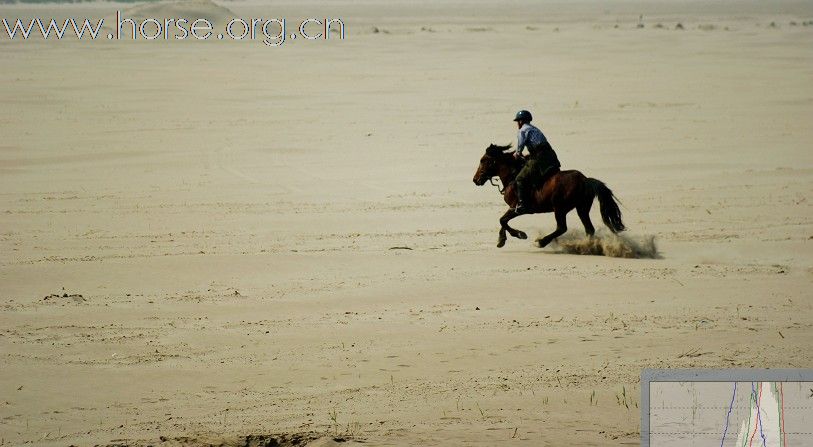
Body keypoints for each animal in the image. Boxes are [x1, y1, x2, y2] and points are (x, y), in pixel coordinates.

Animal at [472, 144, 624, 248]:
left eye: (483, 160)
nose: (475, 179)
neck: (512, 176)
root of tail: (585, 180)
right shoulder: (512, 209)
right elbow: (503, 220)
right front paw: (501, 240)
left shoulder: (517, 209)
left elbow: (502, 220)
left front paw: (520, 235)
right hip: (582, 208)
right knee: (589, 229)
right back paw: (588, 246)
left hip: (560, 209)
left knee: (562, 228)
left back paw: (541, 242)